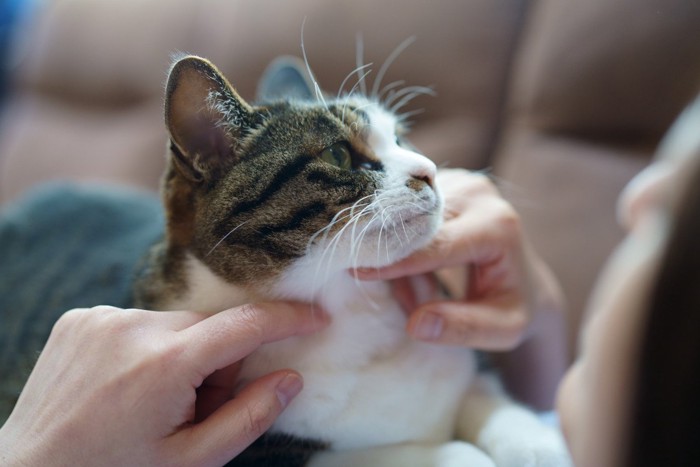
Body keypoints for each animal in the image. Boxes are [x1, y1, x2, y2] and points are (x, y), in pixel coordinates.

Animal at [134, 53, 572, 466]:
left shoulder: (468, 364)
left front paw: (539, 447)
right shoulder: (265, 452)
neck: (354, 307)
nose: (430, 170)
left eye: (401, 140)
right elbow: (419, 455)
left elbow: (494, 401)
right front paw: (458, 454)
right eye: (338, 155)